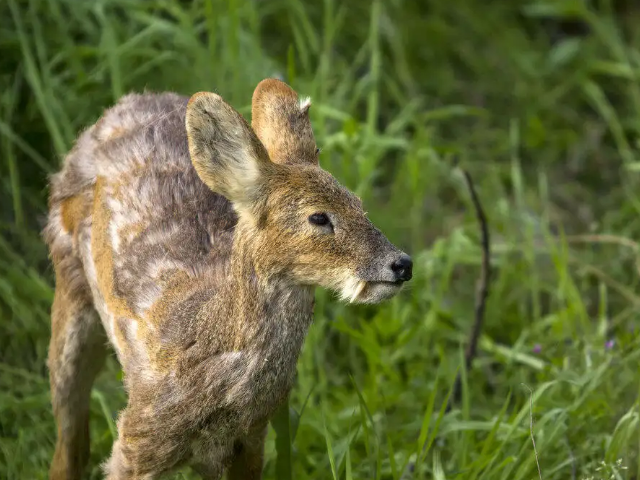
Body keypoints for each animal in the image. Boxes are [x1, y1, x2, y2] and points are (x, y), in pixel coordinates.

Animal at [45, 79, 416, 480]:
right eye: (319, 217)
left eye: (359, 204)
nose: (402, 264)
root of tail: (128, 101)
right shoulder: (136, 440)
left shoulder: (251, 441)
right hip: (68, 283)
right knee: (68, 437)